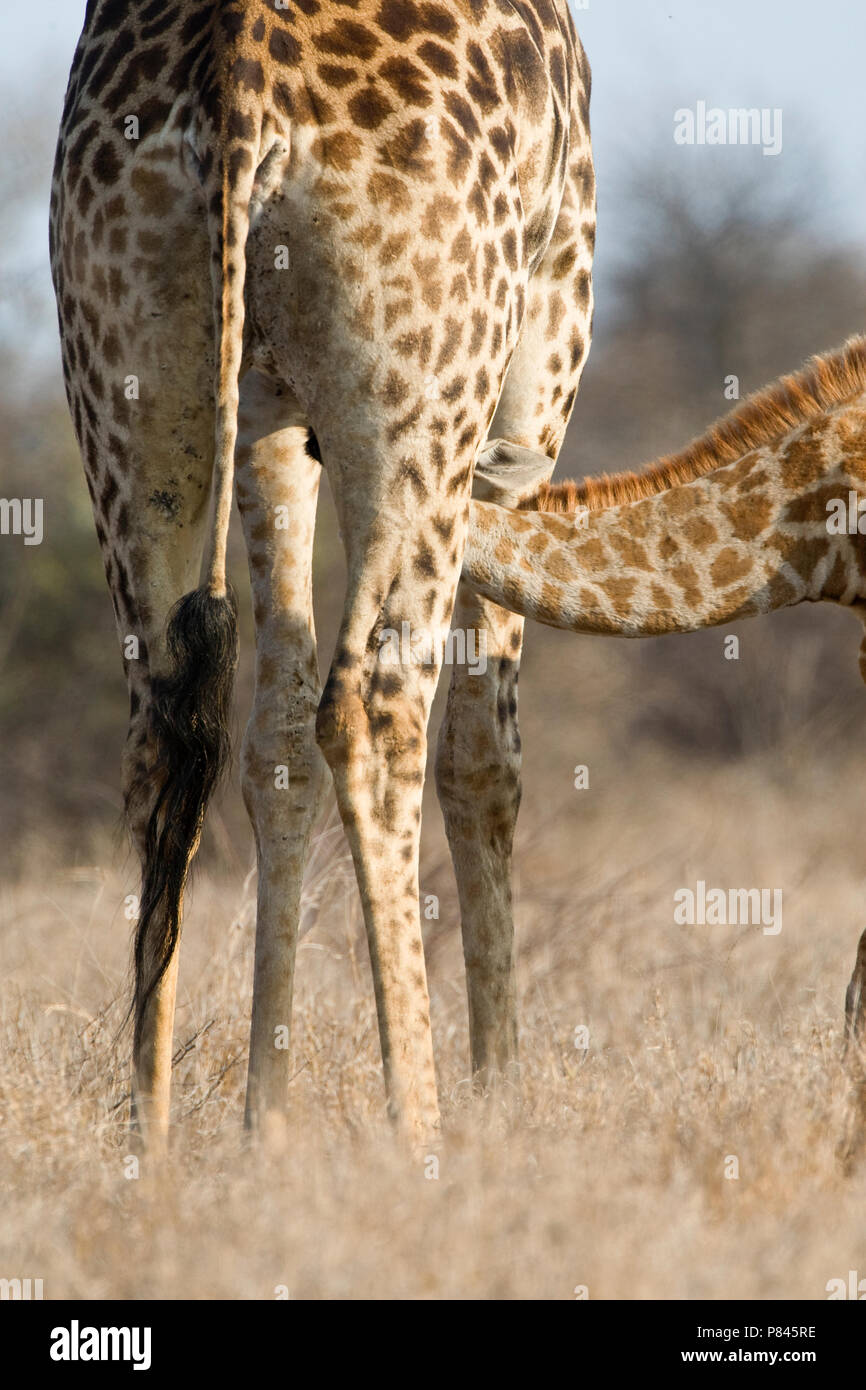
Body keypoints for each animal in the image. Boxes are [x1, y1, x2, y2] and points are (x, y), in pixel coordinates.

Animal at [48, 0, 594, 1145]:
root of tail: (239, 73)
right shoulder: (545, 341)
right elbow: (487, 749)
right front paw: (501, 1104)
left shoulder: (269, 413)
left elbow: (275, 739)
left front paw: (267, 1124)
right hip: (424, 404)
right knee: (379, 710)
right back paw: (420, 1129)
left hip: (127, 385)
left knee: (167, 730)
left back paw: (151, 1141)